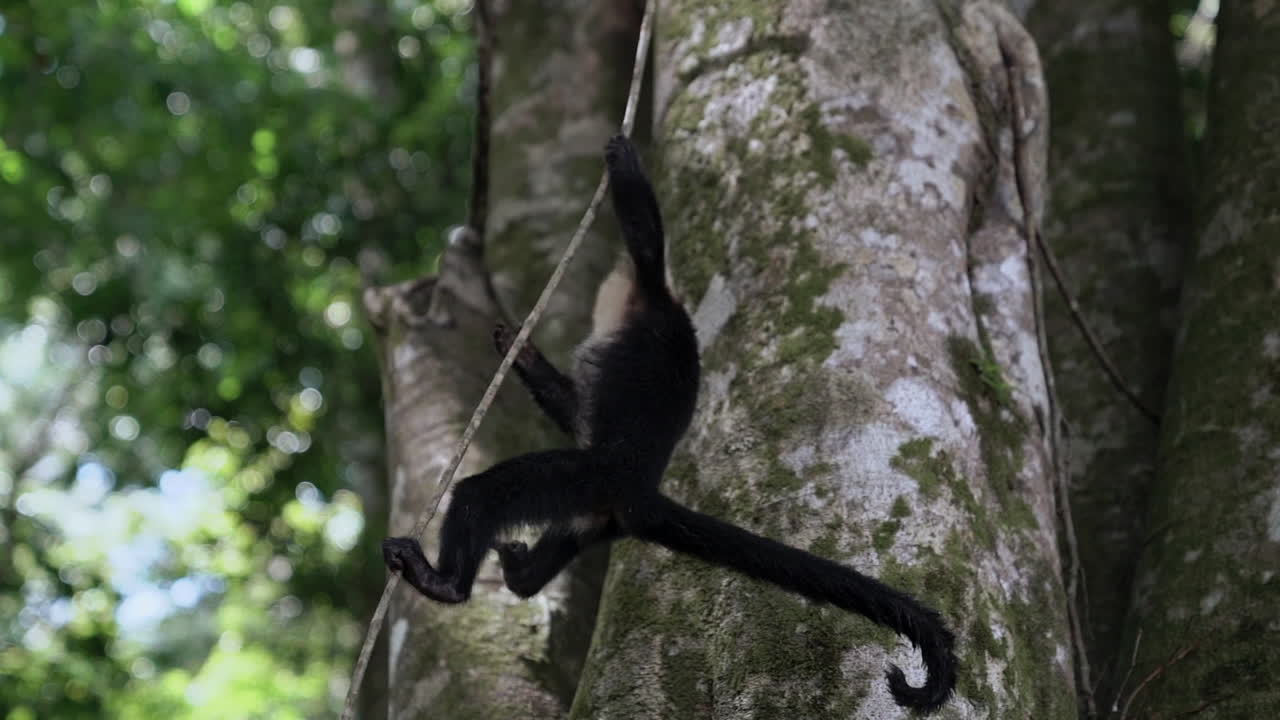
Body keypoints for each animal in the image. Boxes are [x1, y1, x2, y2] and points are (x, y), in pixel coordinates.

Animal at [384, 134, 957, 712]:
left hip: (588, 477)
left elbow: (644, 234)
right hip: (599, 511)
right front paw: (519, 353)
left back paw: (446, 584)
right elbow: (577, 409)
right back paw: (520, 574)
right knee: (552, 541)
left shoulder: (652, 292)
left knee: (485, 493)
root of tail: (638, 490)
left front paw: (624, 161)